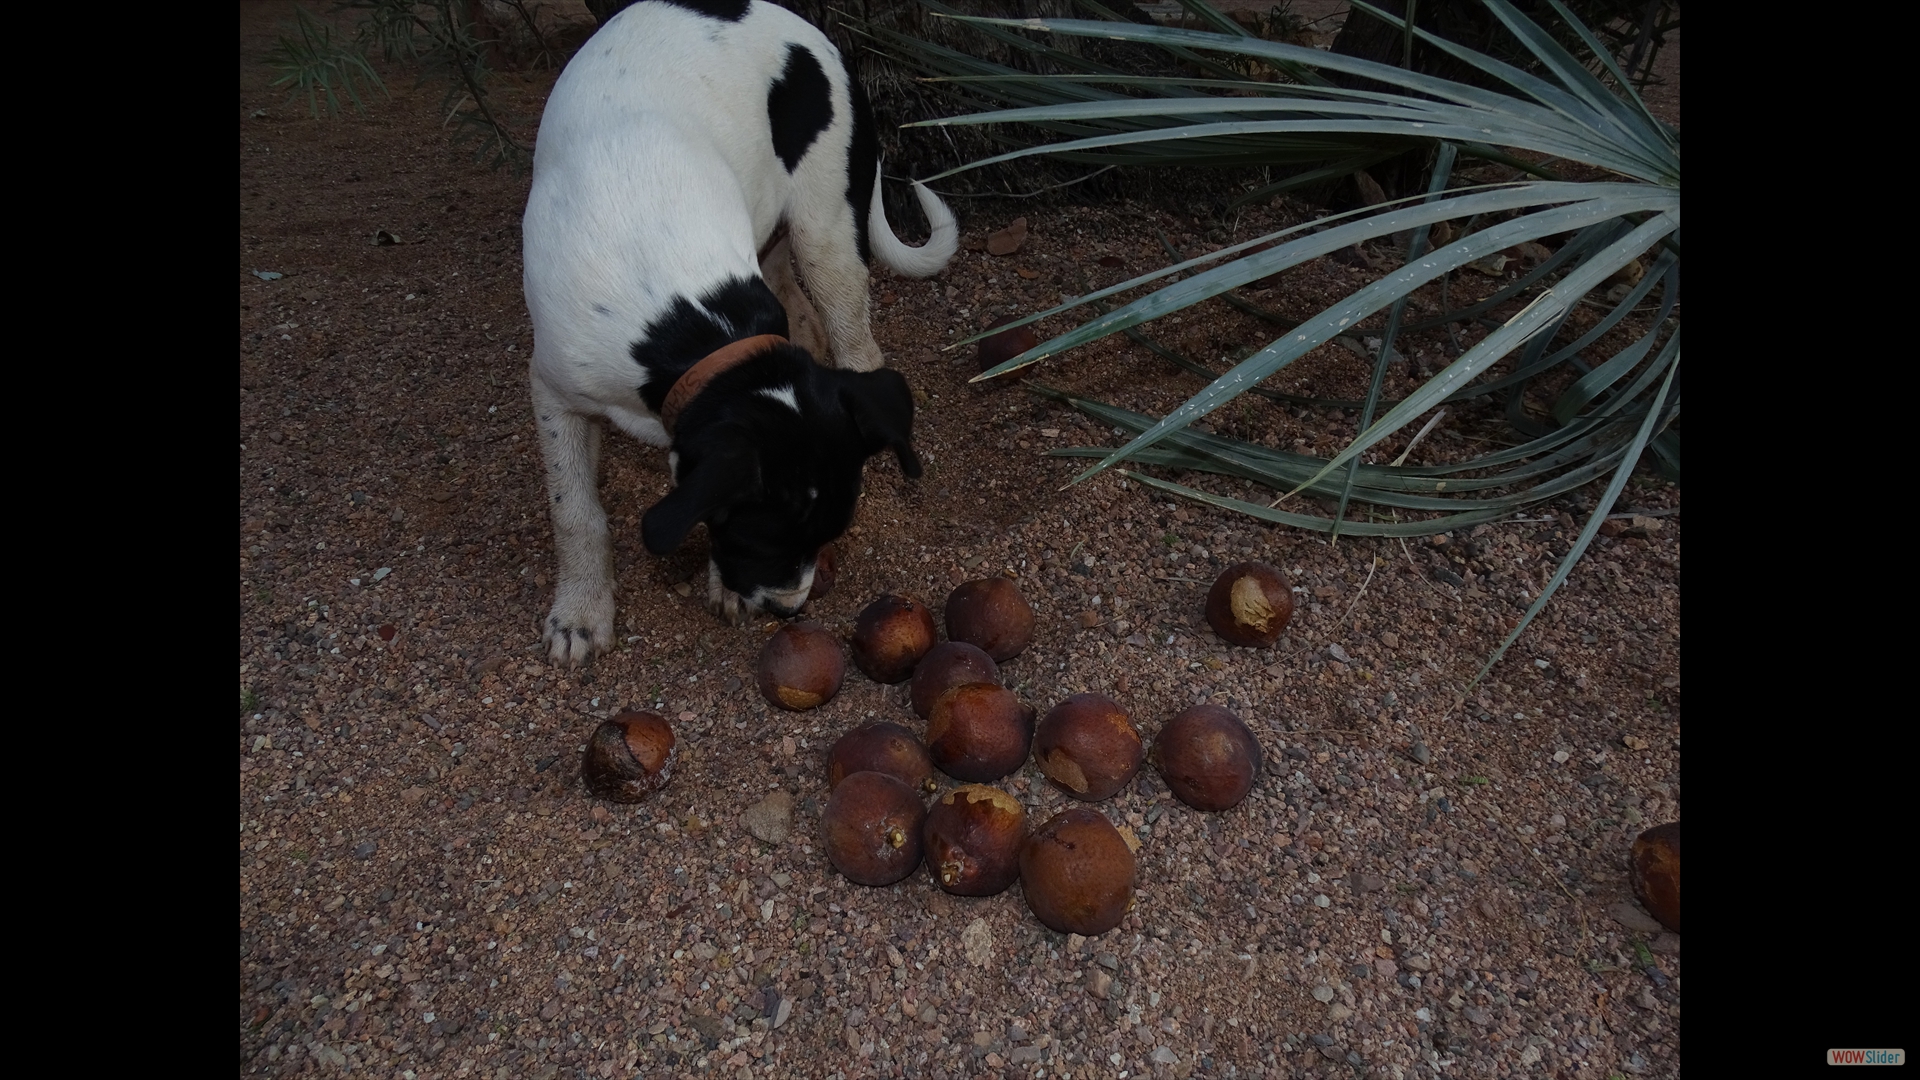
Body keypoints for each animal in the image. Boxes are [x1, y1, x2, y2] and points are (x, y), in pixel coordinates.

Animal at [522, 0, 956, 661]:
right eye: (762, 542)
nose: (789, 610)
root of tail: (808, 29)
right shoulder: (553, 390)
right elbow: (574, 511)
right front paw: (580, 612)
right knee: (803, 314)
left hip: (825, 232)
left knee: (854, 341)